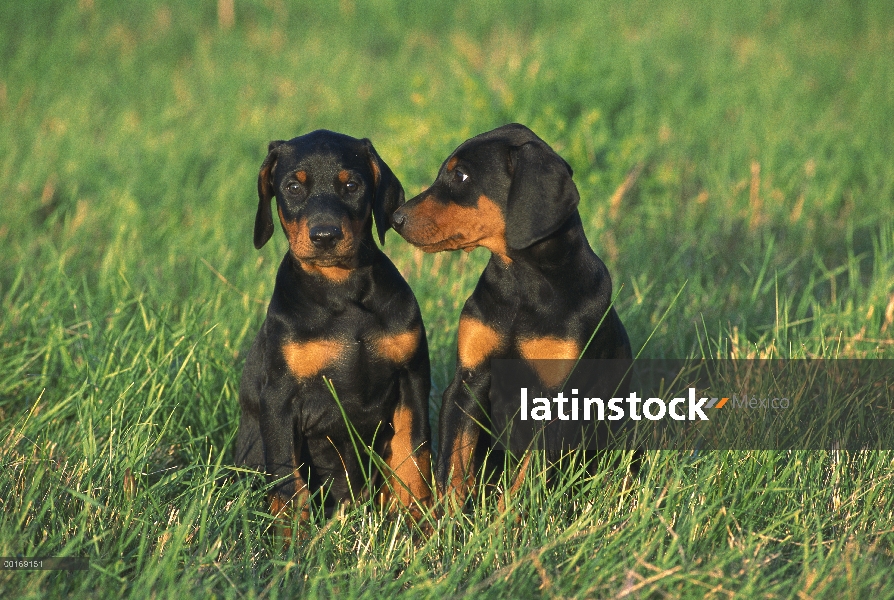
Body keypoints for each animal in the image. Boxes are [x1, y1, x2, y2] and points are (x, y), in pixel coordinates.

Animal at [390, 123, 632, 510]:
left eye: (461, 175)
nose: (395, 218)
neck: (523, 286)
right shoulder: (468, 381)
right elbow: (454, 465)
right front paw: (451, 520)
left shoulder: (557, 400)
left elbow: (528, 478)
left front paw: (508, 520)